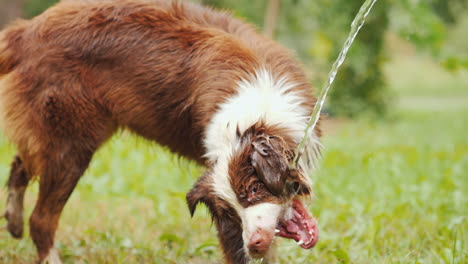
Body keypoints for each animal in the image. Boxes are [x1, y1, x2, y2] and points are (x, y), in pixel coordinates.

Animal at [0, 0, 322, 262]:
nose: (254, 244)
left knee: (21, 164)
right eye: (230, 211)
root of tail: (27, 30)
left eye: (255, 189)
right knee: (41, 218)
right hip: (71, 143)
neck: (254, 115)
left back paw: (13, 221)